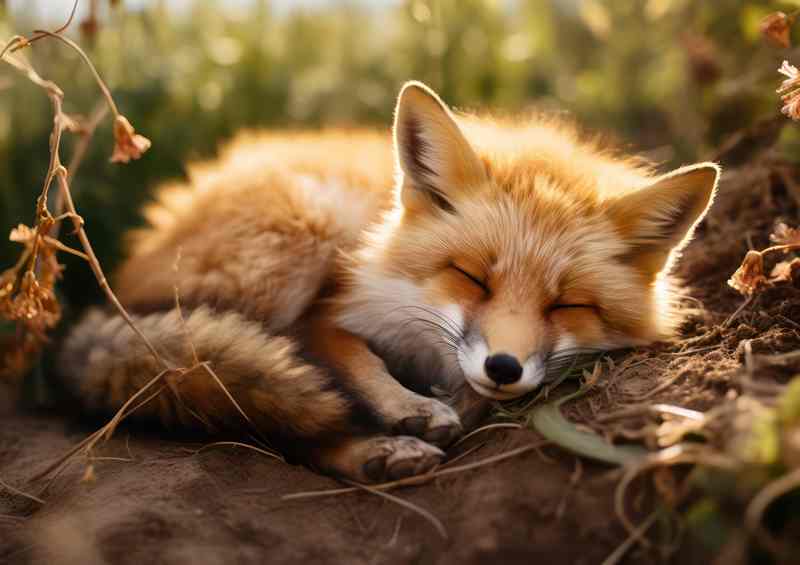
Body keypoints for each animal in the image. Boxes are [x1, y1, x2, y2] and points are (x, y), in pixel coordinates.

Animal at [59, 82, 720, 483]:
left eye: (567, 305)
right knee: (254, 394)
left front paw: (455, 400)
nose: (504, 367)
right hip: (302, 230)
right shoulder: (334, 303)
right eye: (470, 277)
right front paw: (407, 405)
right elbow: (344, 351)